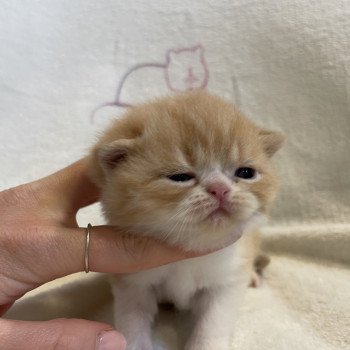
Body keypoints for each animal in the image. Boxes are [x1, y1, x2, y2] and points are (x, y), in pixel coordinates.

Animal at [88, 91, 284, 350]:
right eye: (180, 177)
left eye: (245, 173)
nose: (220, 189)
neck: (189, 249)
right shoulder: (132, 281)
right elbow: (132, 318)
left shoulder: (226, 281)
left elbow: (213, 323)